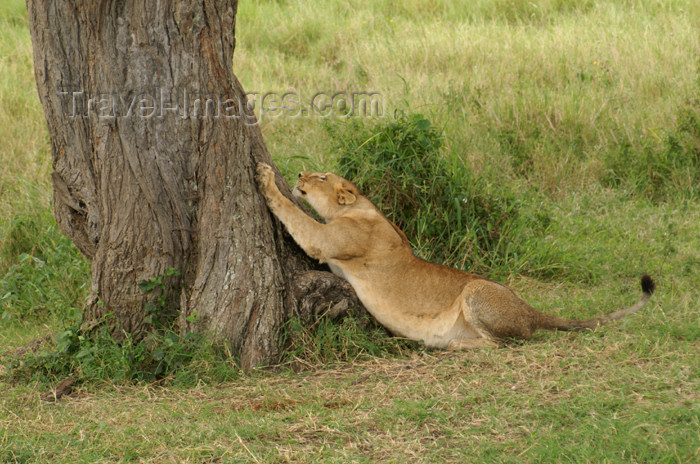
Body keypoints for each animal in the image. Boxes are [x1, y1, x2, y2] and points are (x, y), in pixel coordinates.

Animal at [254, 163, 652, 348]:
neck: (360, 208)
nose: (301, 173)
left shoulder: (326, 240)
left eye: (322, 176)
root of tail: (531, 310)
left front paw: (266, 177)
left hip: (476, 291)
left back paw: (454, 345)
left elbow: (294, 214)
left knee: (501, 343)